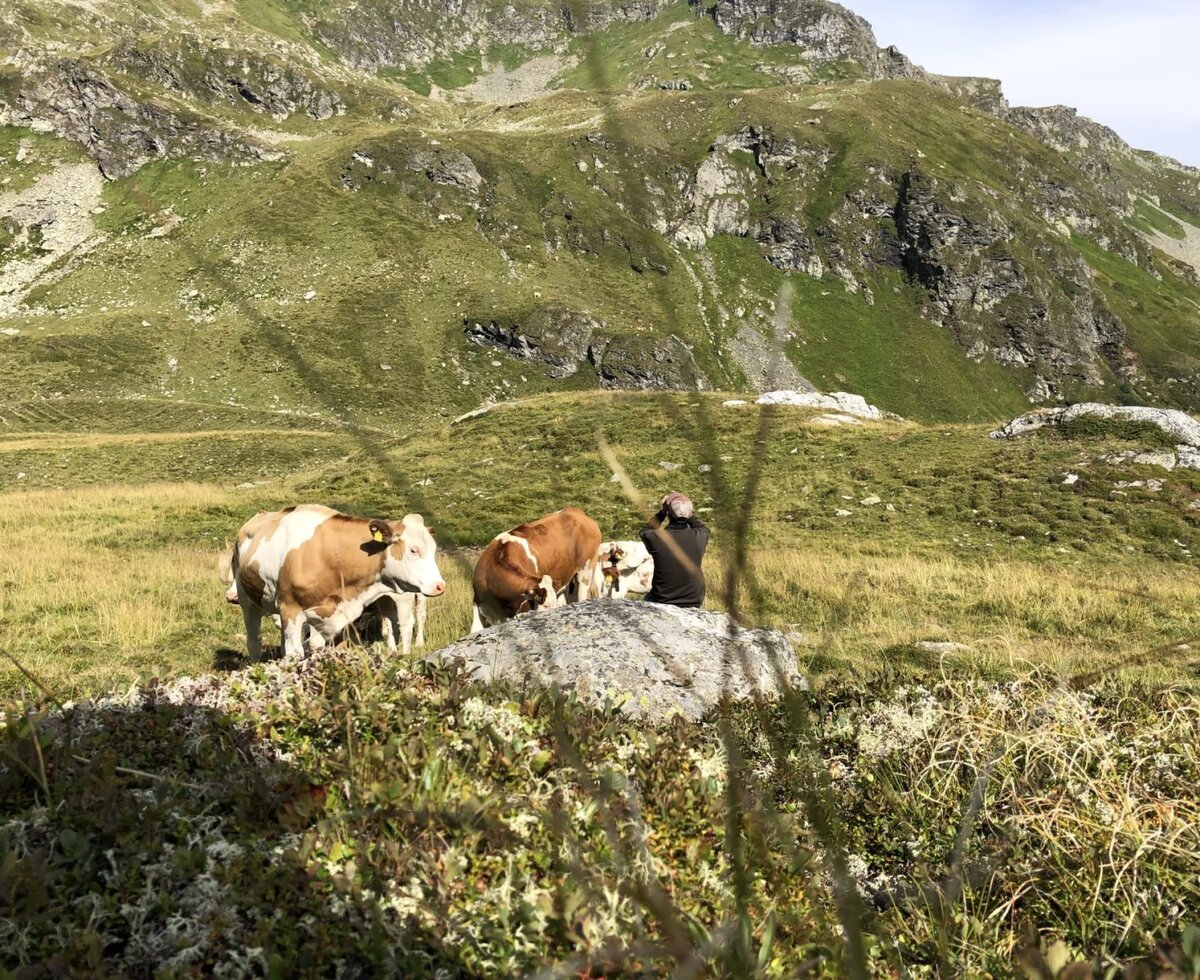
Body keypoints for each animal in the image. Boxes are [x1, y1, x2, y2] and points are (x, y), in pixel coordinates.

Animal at [223, 505, 445, 660]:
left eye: (434, 550)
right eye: (414, 550)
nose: (440, 585)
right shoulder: (291, 610)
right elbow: (296, 652)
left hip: (402, 599)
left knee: (406, 623)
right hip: (248, 601)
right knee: (254, 643)